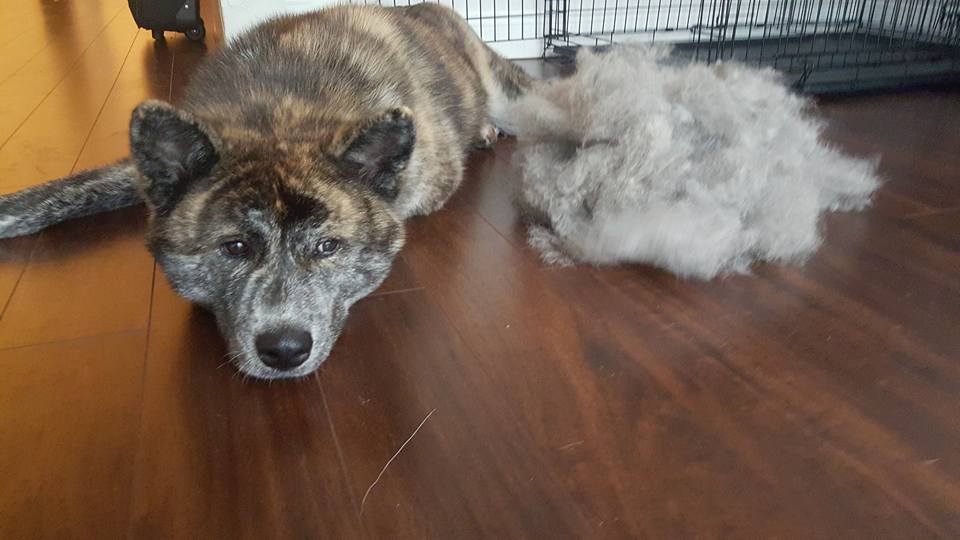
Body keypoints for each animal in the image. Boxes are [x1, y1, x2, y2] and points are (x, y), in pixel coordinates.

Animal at [0, 6, 532, 382]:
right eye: (234, 247)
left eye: (328, 246)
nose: (285, 351)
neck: (279, 112)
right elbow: (81, 187)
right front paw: (12, 210)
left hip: (509, 94)